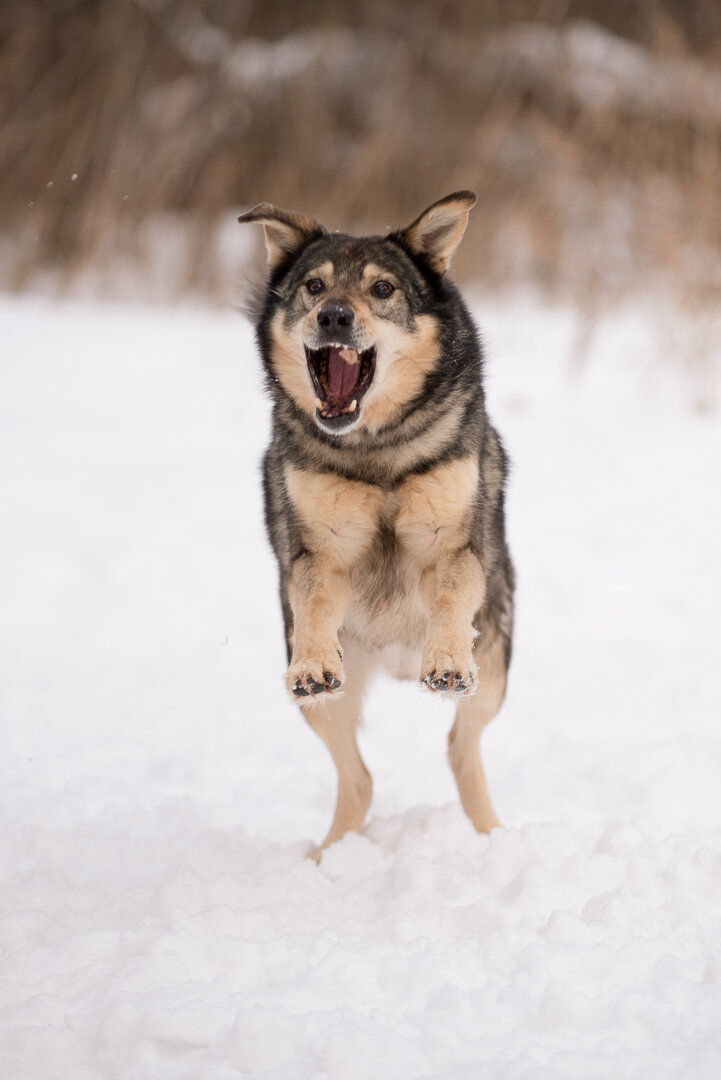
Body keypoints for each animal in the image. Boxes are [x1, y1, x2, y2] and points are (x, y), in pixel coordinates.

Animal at [239, 190, 515, 855]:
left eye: (383, 289)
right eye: (313, 285)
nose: (335, 316)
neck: (375, 450)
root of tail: (395, 658)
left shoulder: (454, 547)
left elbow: (450, 595)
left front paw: (446, 659)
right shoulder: (319, 553)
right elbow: (316, 598)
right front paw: (315, 663)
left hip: (495, 662)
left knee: (460, 749)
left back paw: (493, 837)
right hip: (323, 702)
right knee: (359, 778)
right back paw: (328, 859)